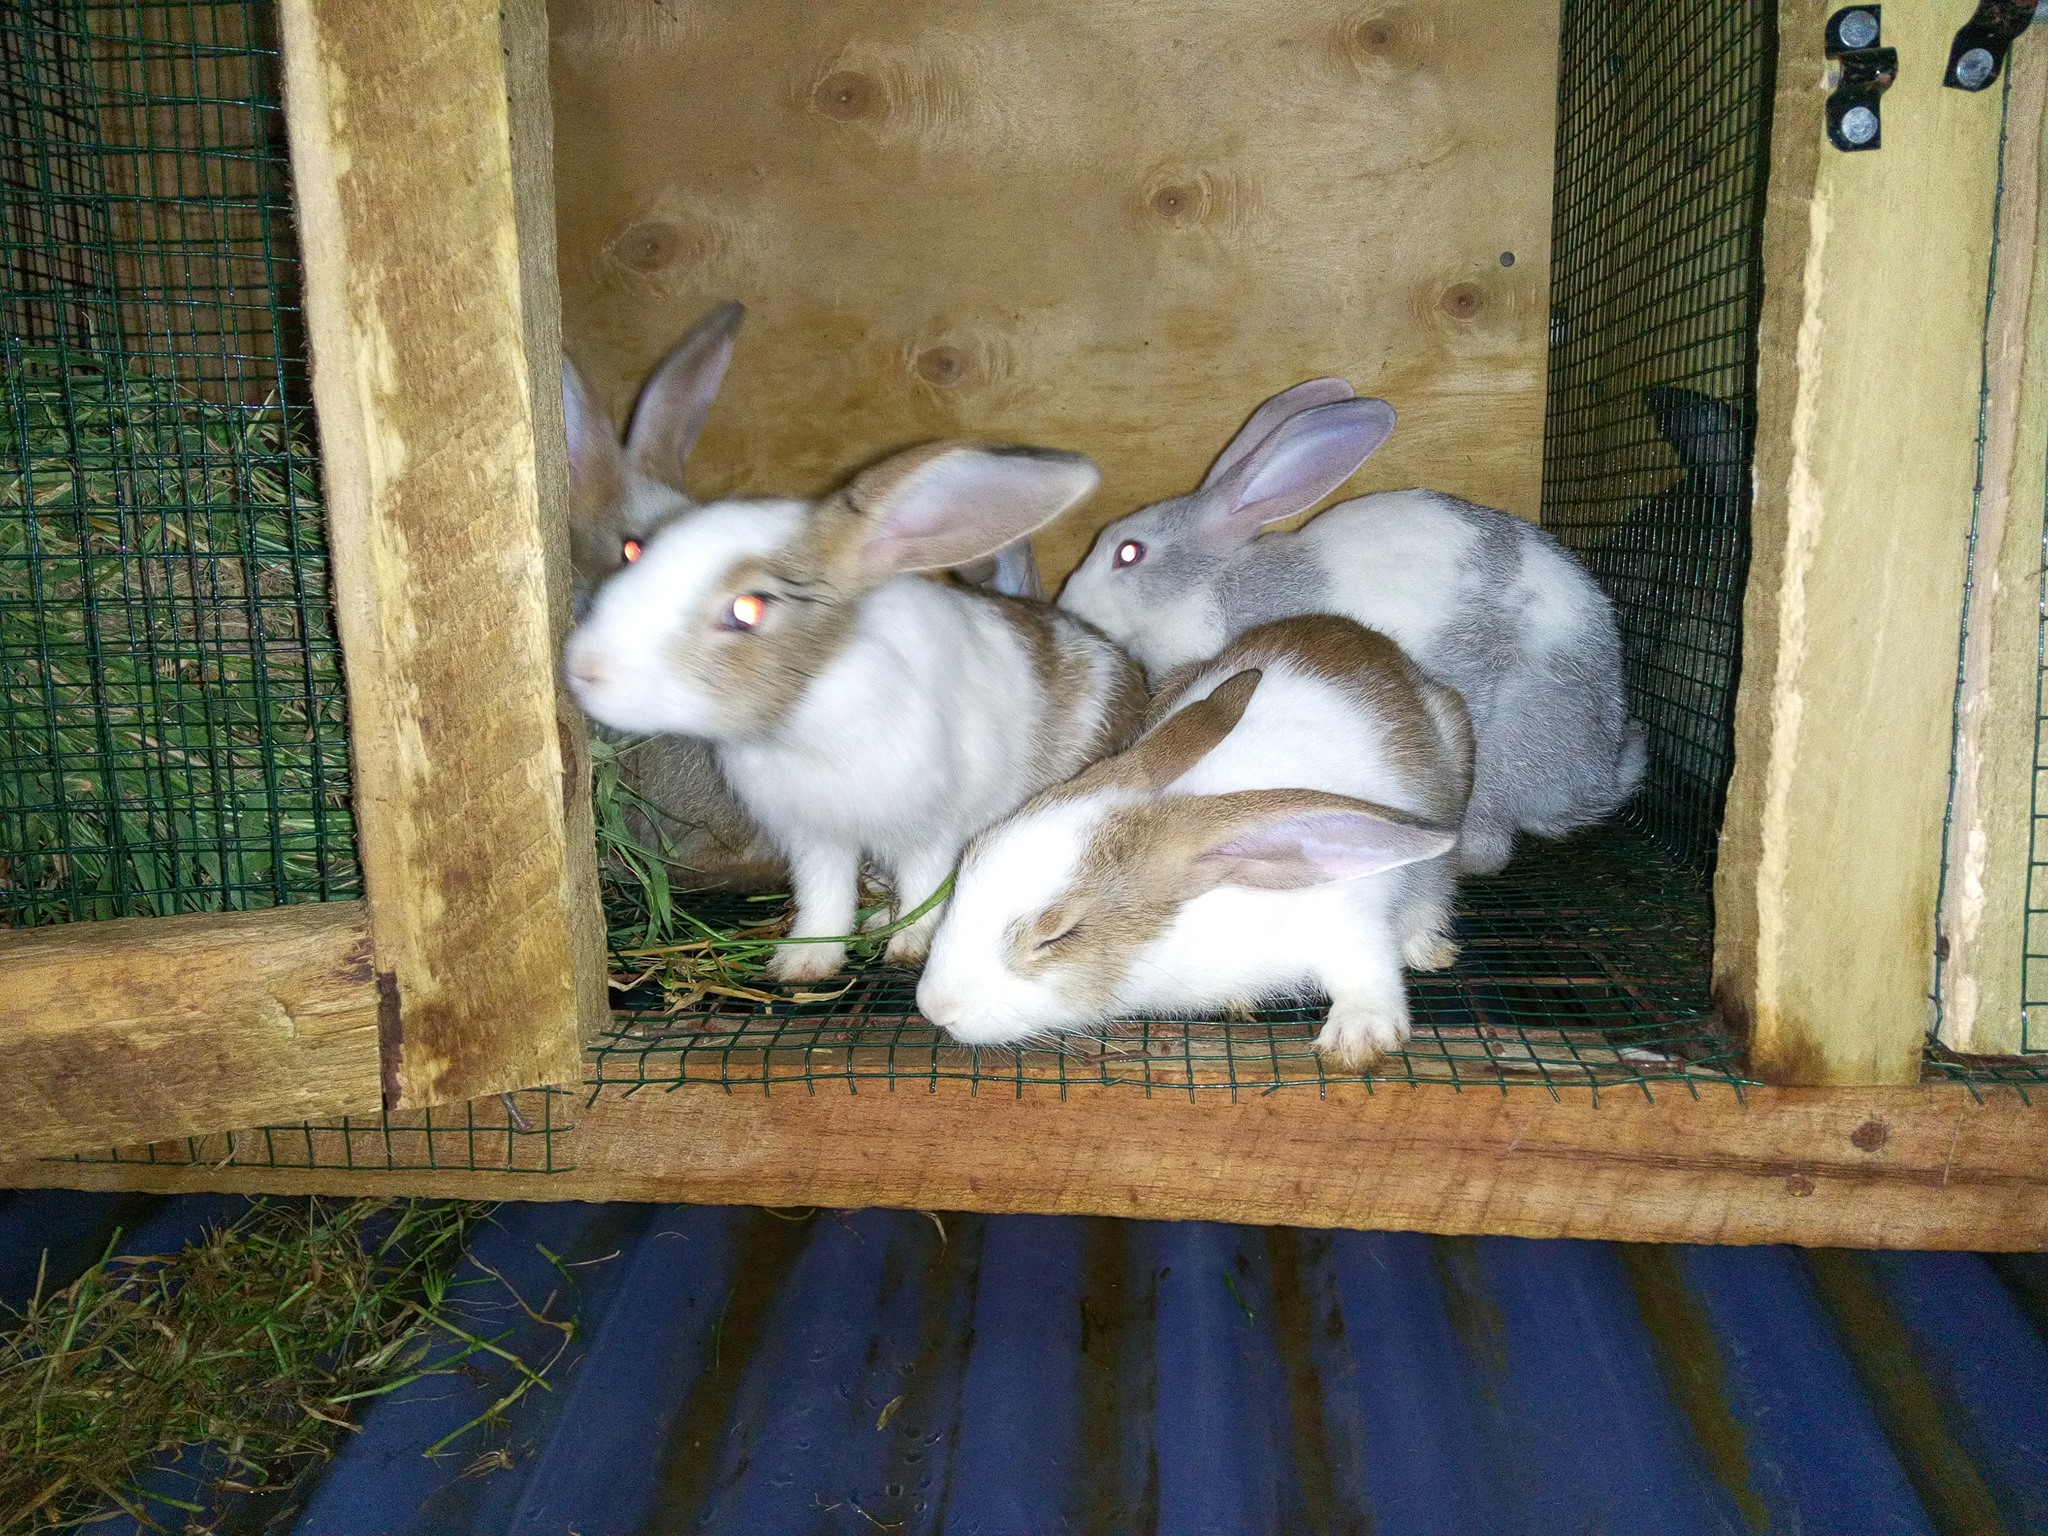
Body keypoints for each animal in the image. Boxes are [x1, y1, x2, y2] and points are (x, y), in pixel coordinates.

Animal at [563, 438, 1149, 981]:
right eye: (640, 554)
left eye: (747, 609)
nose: (584, 668)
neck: (811, 715)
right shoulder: (813, 839)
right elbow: (824, 897)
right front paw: (803, 962)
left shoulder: (931, 829)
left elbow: (924, 887)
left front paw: (910, 947)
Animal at [916, 613, 1473, 1067]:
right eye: (968, 861)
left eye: (1059, 936)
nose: (934, 1007)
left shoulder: (1346, 917)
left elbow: (1367, 968)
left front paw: (1357, 1037)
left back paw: (1427, 949)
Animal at [1058, 378, 1646, 876]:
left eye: (1129, 553)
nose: (1066, 601)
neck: (1206, 584)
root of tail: (1592, 781)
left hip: (1492, 760)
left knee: (1488, 848)